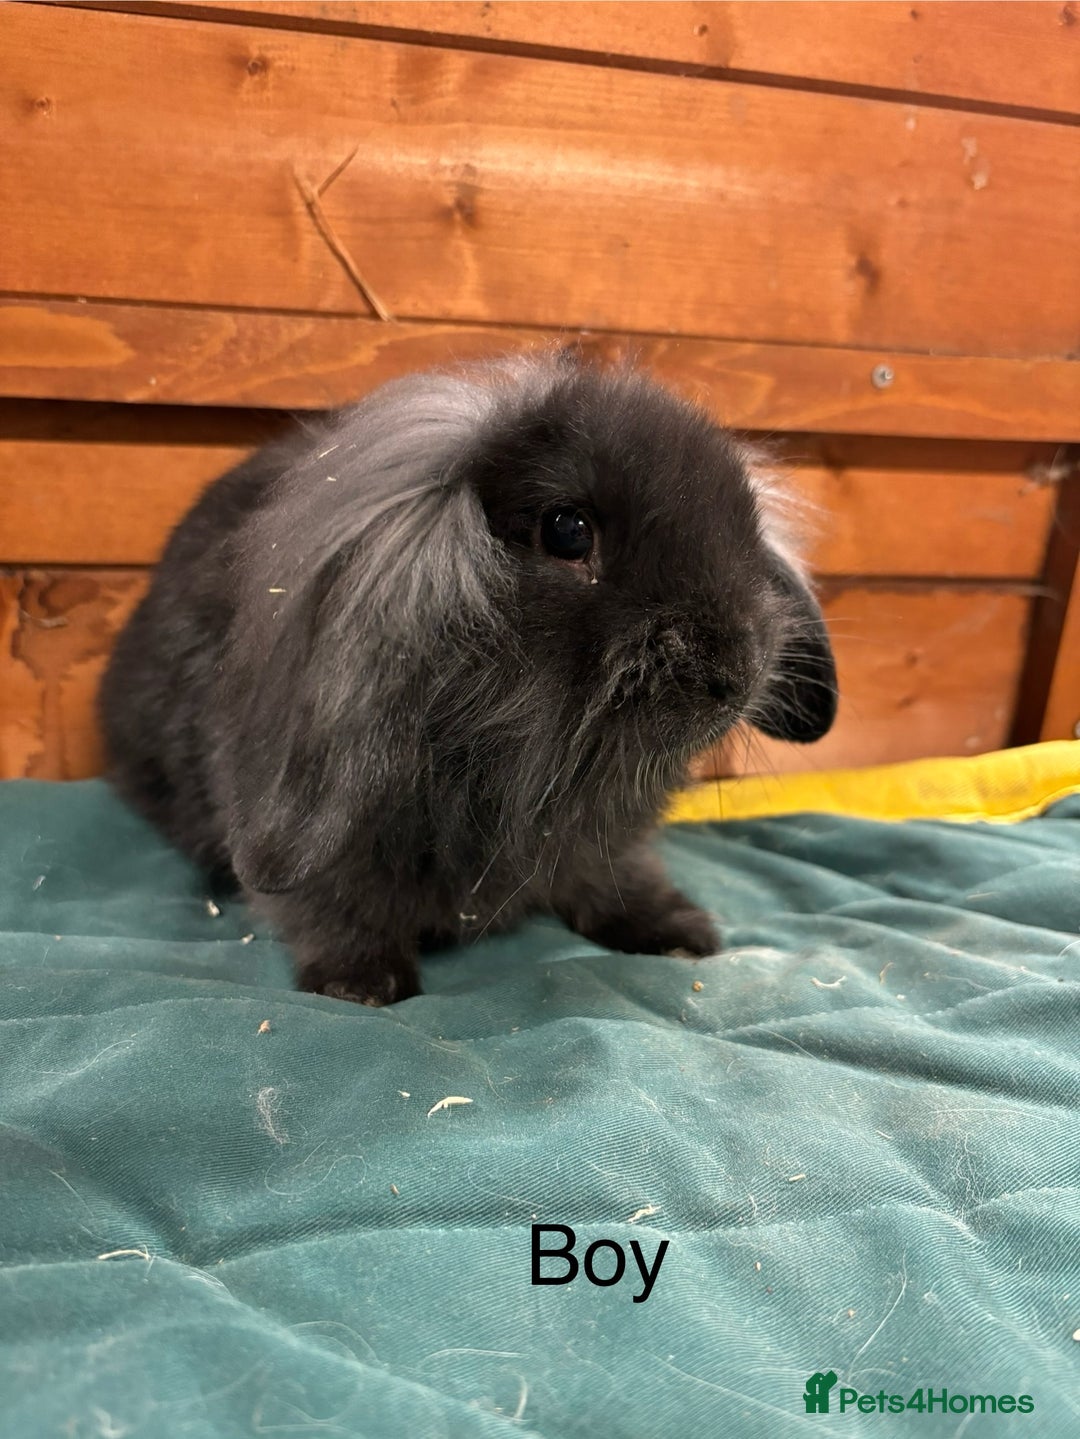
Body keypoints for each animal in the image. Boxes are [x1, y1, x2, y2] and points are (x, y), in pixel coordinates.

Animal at [100, 354, 837, 1005]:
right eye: (568, 531)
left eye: (743, 526)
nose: (737, 671)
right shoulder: (323, 851)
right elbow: (331, 908)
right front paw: (360, 986)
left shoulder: (606, 843)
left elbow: (616, 878)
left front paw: (680, 934)